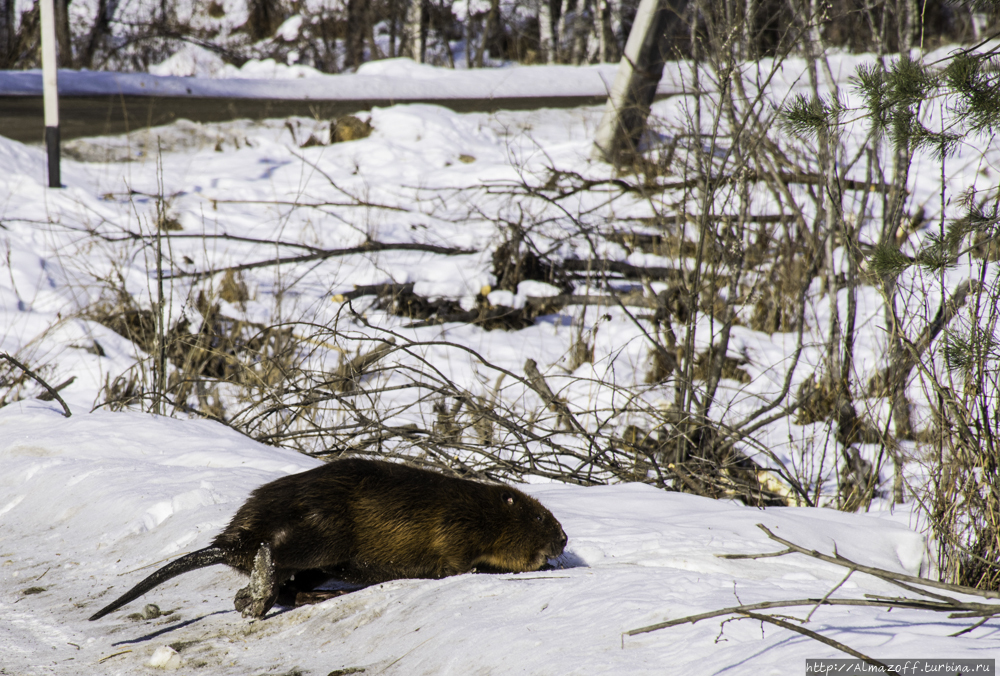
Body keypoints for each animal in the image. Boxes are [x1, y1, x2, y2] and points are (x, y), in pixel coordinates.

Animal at [87, 456, 568, 620]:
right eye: (539, 517)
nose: (564, 539)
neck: (478, 507)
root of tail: (231, 541)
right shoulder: (453, 527)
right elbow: (459, 565)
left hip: (322, 559)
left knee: (290, 584)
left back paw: (288, 597)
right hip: (324, 533)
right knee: (277, 557)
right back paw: (257, 595)